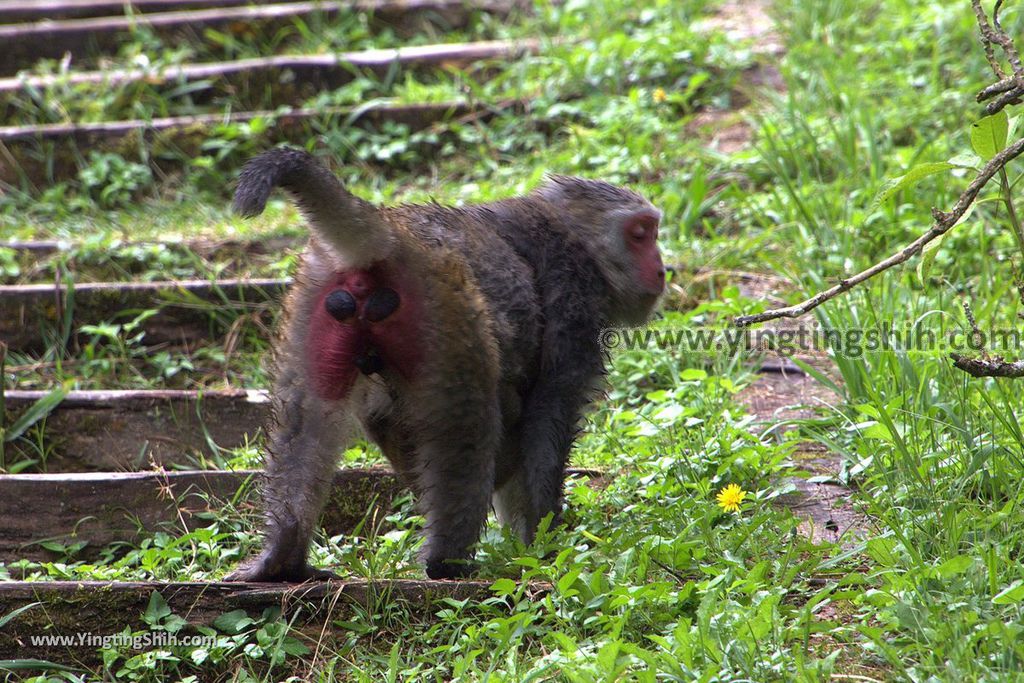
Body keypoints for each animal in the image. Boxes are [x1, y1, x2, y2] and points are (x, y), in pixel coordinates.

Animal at [228, 149, 667, 581]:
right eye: (641, 233)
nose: (662, 269)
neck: (573, 236)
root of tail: (393, 234)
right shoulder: (575, 298)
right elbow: (548, 415)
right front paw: (545, 544)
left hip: (320, 296)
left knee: (309, 415)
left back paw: (282, 557)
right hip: (446, 310)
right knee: (469, 421)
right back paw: (447, 562)